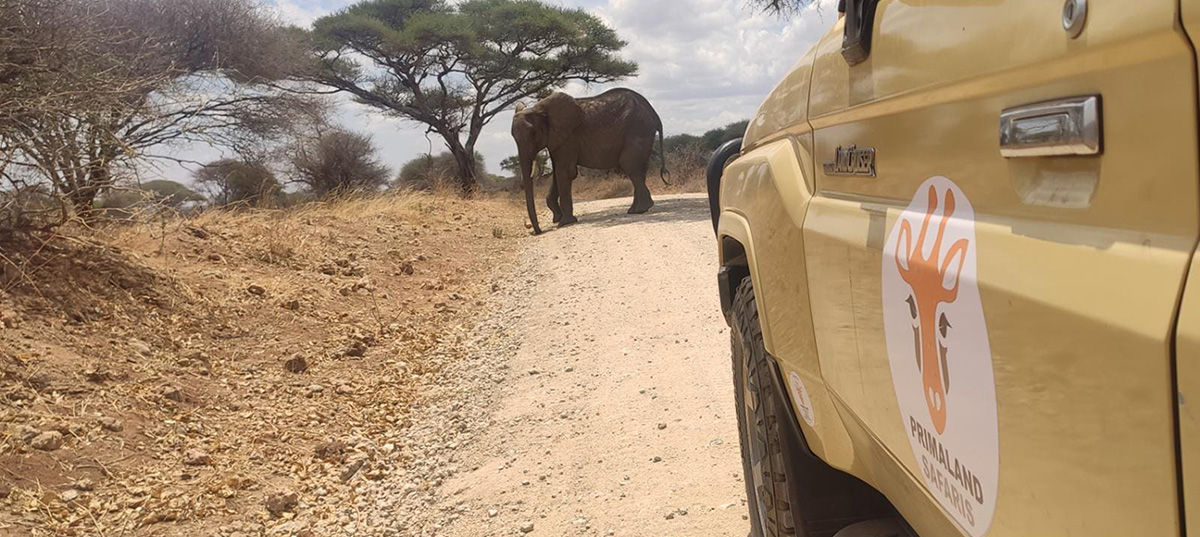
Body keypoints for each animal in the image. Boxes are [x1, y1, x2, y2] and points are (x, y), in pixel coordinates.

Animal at [511, 86, 672, 233]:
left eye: (533, 133)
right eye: (513, 135)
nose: (536, 231)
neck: (540, 109)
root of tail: (656, 116)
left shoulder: (569, 137)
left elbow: (565, 172)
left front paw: (564, 223)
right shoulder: (556, 138)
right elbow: (557, 172)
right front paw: (557, 218)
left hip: (638, 128)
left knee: (630, 165)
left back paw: (641, 209)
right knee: (639, 169)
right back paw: (634, 210)